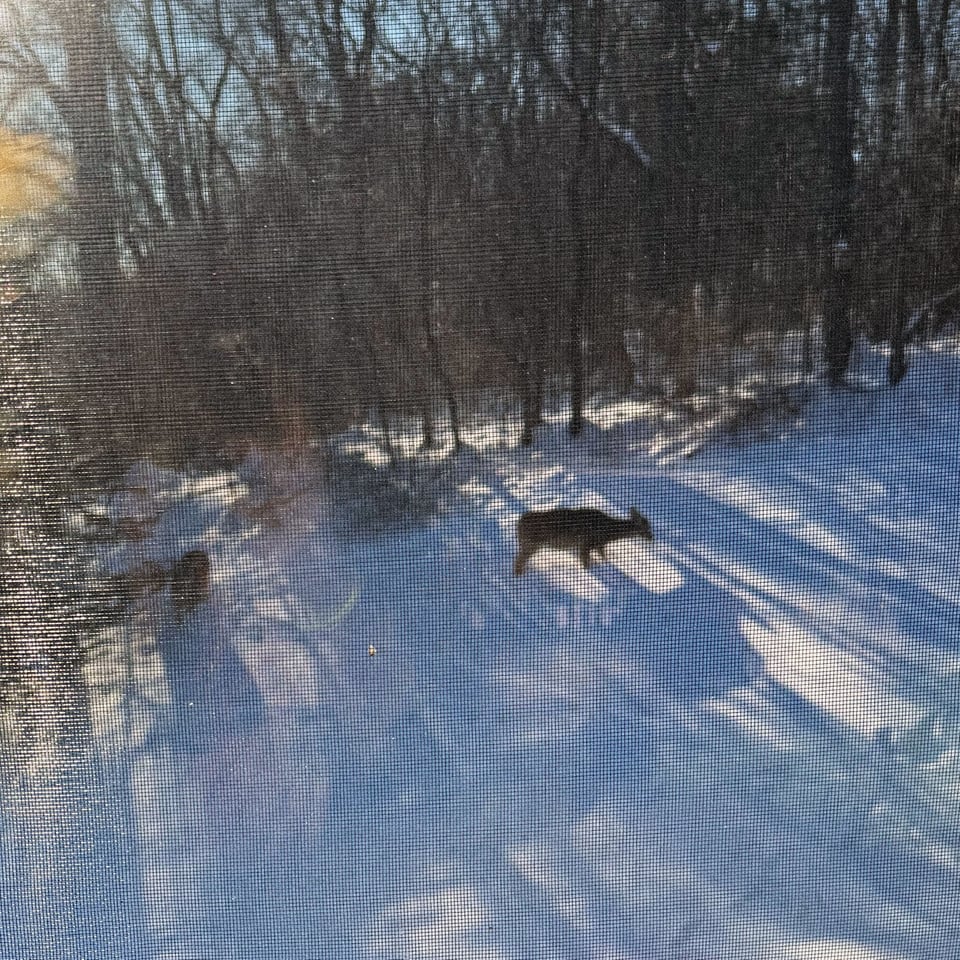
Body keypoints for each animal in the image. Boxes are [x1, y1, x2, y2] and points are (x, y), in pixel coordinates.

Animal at [514, 507, 654, 575]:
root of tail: (519, 523)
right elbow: (587, 563)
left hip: (527, 543)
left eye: (649, 525)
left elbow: (602, 557)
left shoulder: (596, 545)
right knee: (519, 561)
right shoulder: (586, 543)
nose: (651, 537)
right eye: (645, 527)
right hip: (531, 543)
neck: (608, 533)